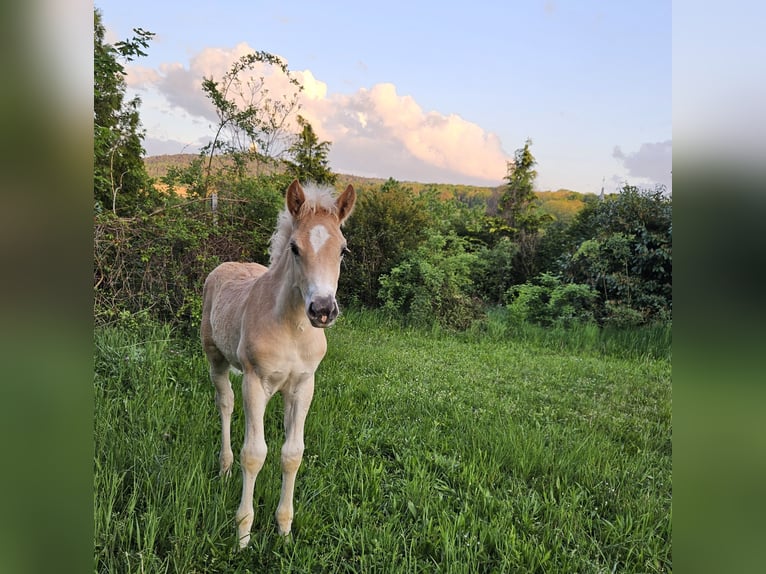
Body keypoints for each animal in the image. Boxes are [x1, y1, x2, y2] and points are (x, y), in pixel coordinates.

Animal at [204, 180, 360, 548]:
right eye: (295, 248)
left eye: (343, 250)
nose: (323, 309)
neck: (292, 328)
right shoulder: (254, 381)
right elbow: (254, 454)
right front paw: (243, 533)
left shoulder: (303, 385)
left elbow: (292, 454)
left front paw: (285, 530)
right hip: (216, 358)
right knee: (225, 403)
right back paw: (224, 468)